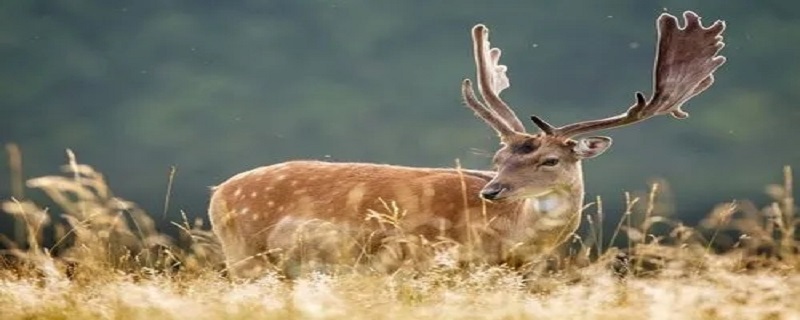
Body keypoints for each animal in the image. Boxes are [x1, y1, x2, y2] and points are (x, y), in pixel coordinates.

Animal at [208, 11, 724, 278]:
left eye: (549, 159)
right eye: (498, 157)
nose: (492, 190)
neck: (507, 239)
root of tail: (218, 193)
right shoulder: (422, 260)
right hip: (245, 254)